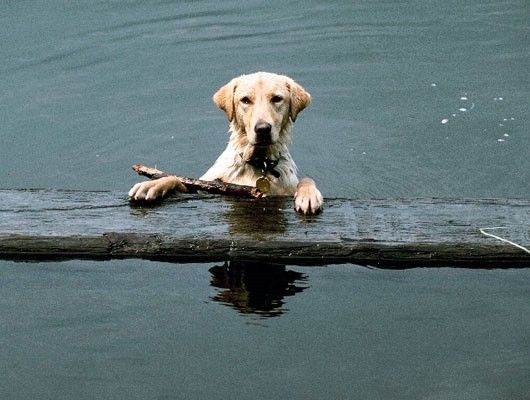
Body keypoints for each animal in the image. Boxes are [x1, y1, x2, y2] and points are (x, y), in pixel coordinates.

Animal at [130, 72, 324, 216]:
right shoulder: (206, 187)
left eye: (277, 98)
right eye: (245, 100)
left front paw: (308, 195)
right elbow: (177, 179)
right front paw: (152, 185)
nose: (262, 129)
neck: (258, 163)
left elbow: (306, 179)